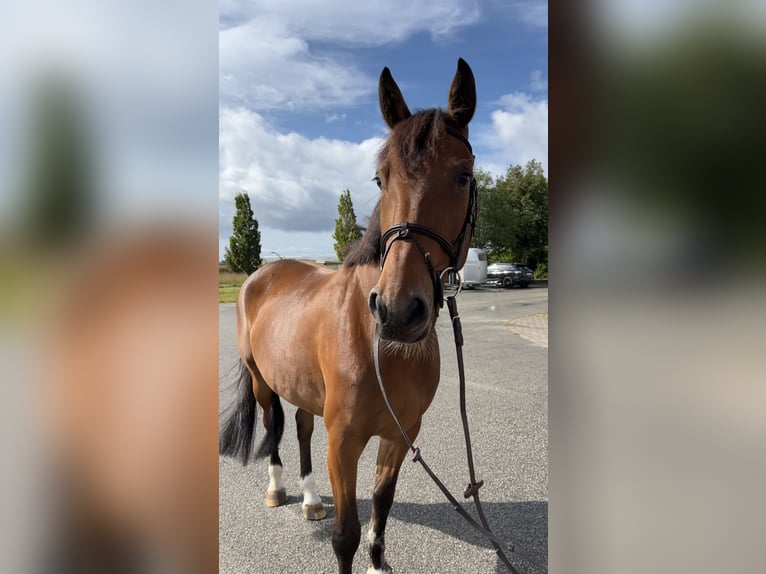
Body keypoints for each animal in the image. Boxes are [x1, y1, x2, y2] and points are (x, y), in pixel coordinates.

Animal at [219, 59, 476, 574]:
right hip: (261, 380)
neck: (378, 344)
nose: (398, 310)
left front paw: (378, 563)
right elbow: (345, 536)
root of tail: (262, 273)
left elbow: (381, 503)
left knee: (300, 426)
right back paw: (278, 490)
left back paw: (311, 499)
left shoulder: (401, 434)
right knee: (274, 426)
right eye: (381, 178)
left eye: (463, 176)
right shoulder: (343, 442)